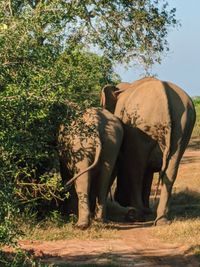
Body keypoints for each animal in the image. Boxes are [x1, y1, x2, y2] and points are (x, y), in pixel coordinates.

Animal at [101, 77, 196, 226]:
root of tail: (164, 94)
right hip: (183, 127)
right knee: (170, 170)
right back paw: (161, 220)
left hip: (141, 124)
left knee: (136, 169)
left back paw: (137, 215)